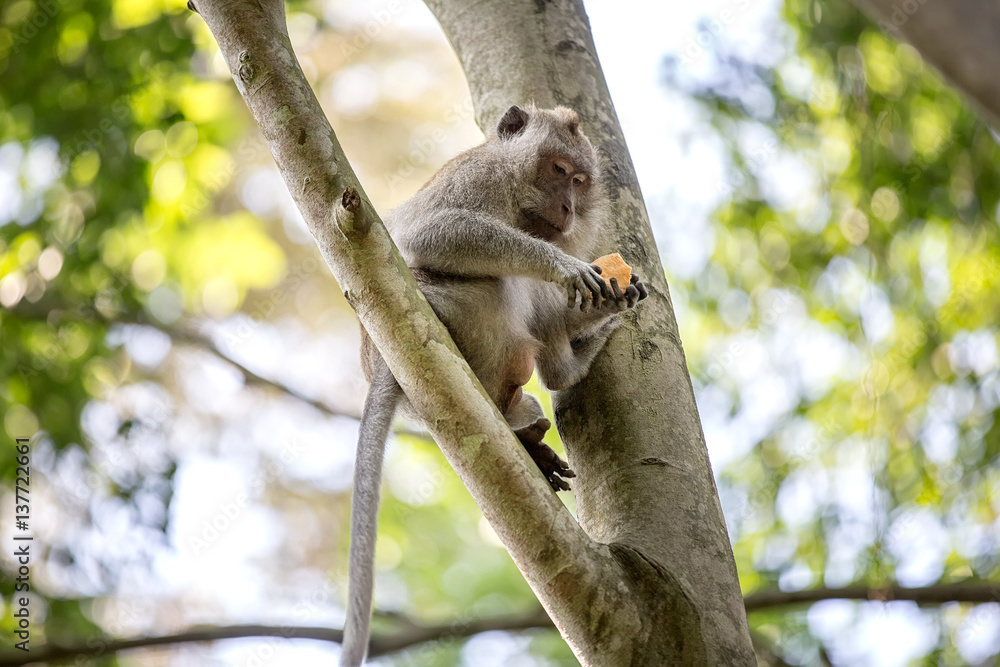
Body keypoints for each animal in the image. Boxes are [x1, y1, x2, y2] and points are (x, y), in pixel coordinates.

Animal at [342, 105, 648, 667]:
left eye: (580, 181)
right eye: (557, 170)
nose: (569, 207)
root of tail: (384, 362)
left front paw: (612, 293)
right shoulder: (478, 179)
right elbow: (430, 233)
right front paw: (563, 266)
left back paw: (550, 391)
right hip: (461, 314)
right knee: (504, 281)